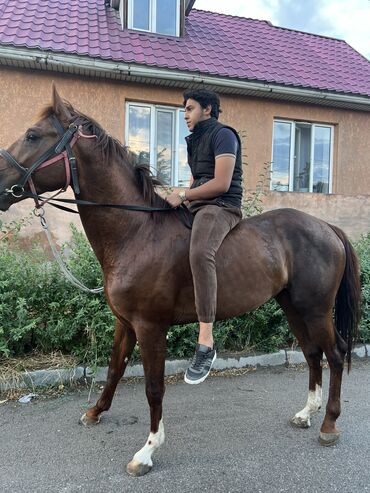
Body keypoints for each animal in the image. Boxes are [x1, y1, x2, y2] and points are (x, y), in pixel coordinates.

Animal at [0, 87, 362, 472]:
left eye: (33, 135)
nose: (0, 186)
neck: (137, 232)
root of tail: (327, 227)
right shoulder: (124, 323)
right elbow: (114, 369)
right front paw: (95, 412)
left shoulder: (150, 327)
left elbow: (153, 387)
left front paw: (147, 450)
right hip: (293, 305)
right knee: (312, 353)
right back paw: (306, 413)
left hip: (315, 309)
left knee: (335, 353)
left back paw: (328, 424)